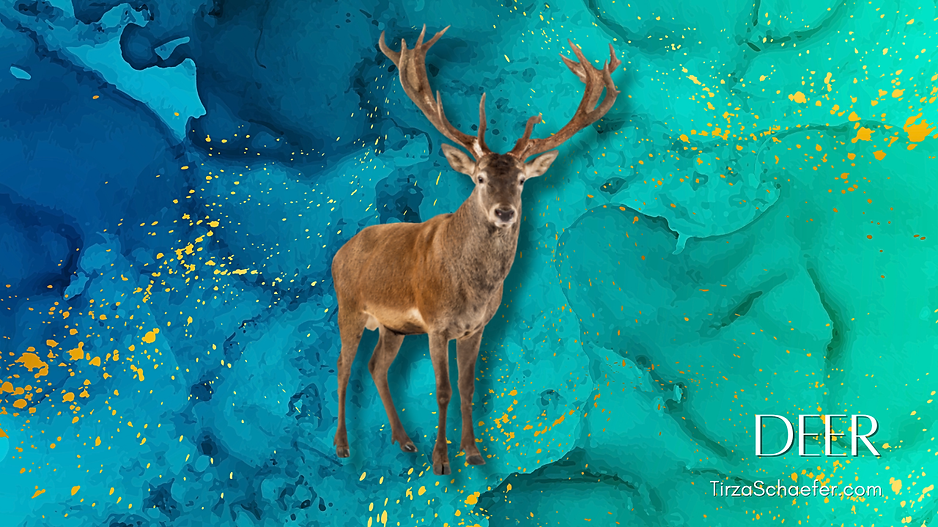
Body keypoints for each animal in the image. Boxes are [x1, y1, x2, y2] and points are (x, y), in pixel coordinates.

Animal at [331, 24, 620, 476]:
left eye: (521, 180)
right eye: (480, 178)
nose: (504, 212)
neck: (471, 288)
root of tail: (337, 252)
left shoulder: (477, 327)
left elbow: (468, 387)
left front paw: (474, 453)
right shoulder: (435, 323)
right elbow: (443, 389)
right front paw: (441, 461)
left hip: (394, 326)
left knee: (377, 366)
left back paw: (404, 440)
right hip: (349, 306)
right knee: (344, 367)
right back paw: (343, 446)